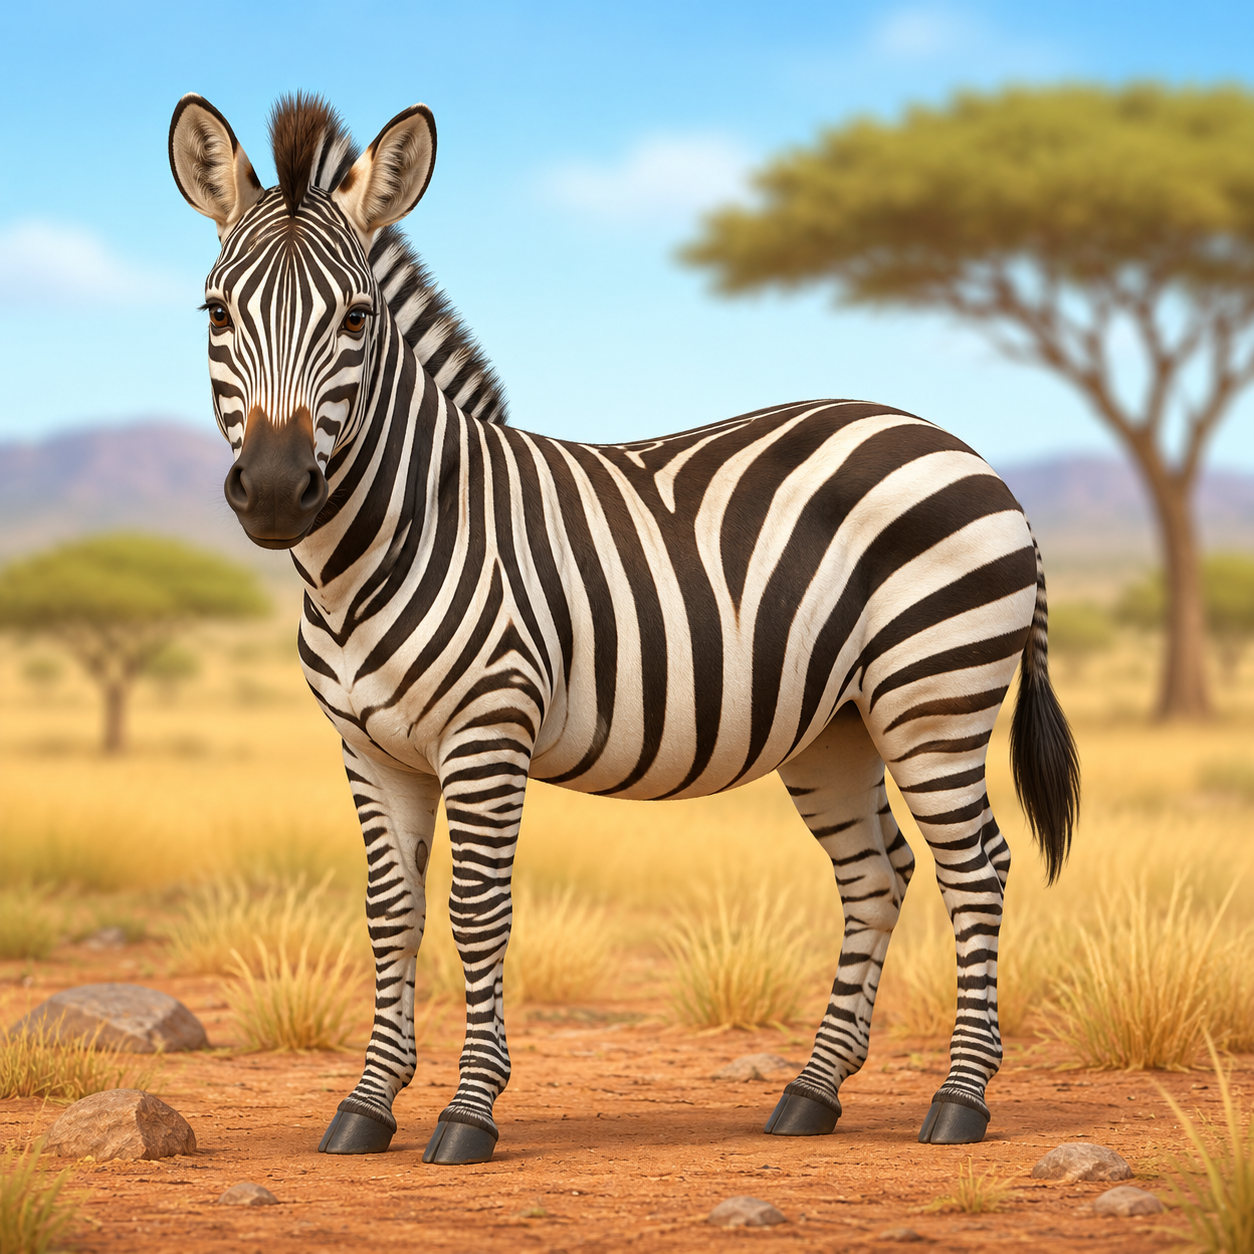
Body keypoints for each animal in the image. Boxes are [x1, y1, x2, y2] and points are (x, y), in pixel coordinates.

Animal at [169, 92, 1079, 1165]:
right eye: (217, 315)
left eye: (356, 318)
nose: (275, 493)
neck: (388, 540)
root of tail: (965, 450)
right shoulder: (368, 747)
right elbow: (390, 915)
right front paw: (365, 1106)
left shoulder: (488, 730)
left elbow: (477, 912)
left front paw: (468, 1113)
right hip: (837, 724)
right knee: (877, 873)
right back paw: (811, 1093)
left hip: (934, 696)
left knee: (975, 870)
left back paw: (959, 1103)